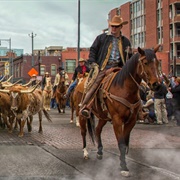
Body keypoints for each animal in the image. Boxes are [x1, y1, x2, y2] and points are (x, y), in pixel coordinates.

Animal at [77, 46, 160, 177]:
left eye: (157, 63)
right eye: (145, 62)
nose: (156, 84)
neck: (125, 89)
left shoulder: (131, 121)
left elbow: (124, 143)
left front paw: (122, 163)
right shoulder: (117, 120)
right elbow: (121, 143)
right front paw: (124, 167)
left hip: (103, 116)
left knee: (97, 130)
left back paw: (99, 152)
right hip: (82, 114)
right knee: (83, 132)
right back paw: (85, 152)